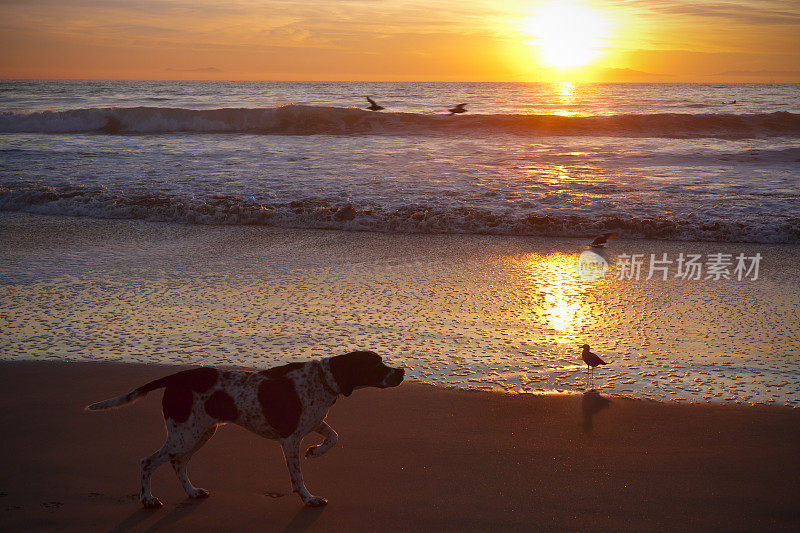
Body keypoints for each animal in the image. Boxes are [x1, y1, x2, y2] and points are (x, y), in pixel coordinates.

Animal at [86, 350, 406, 508]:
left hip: (200, 433)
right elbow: (298, 477)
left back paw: (192, 492)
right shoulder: (289, 440)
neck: (322, 380)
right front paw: (308, 498)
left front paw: (316, 452)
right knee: (147, 462)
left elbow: (334, 437)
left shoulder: (313, 423)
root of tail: (177, 377)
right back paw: (148, 500)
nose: (402, 371)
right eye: (377, 364)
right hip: (185, 435)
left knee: (178, 464)